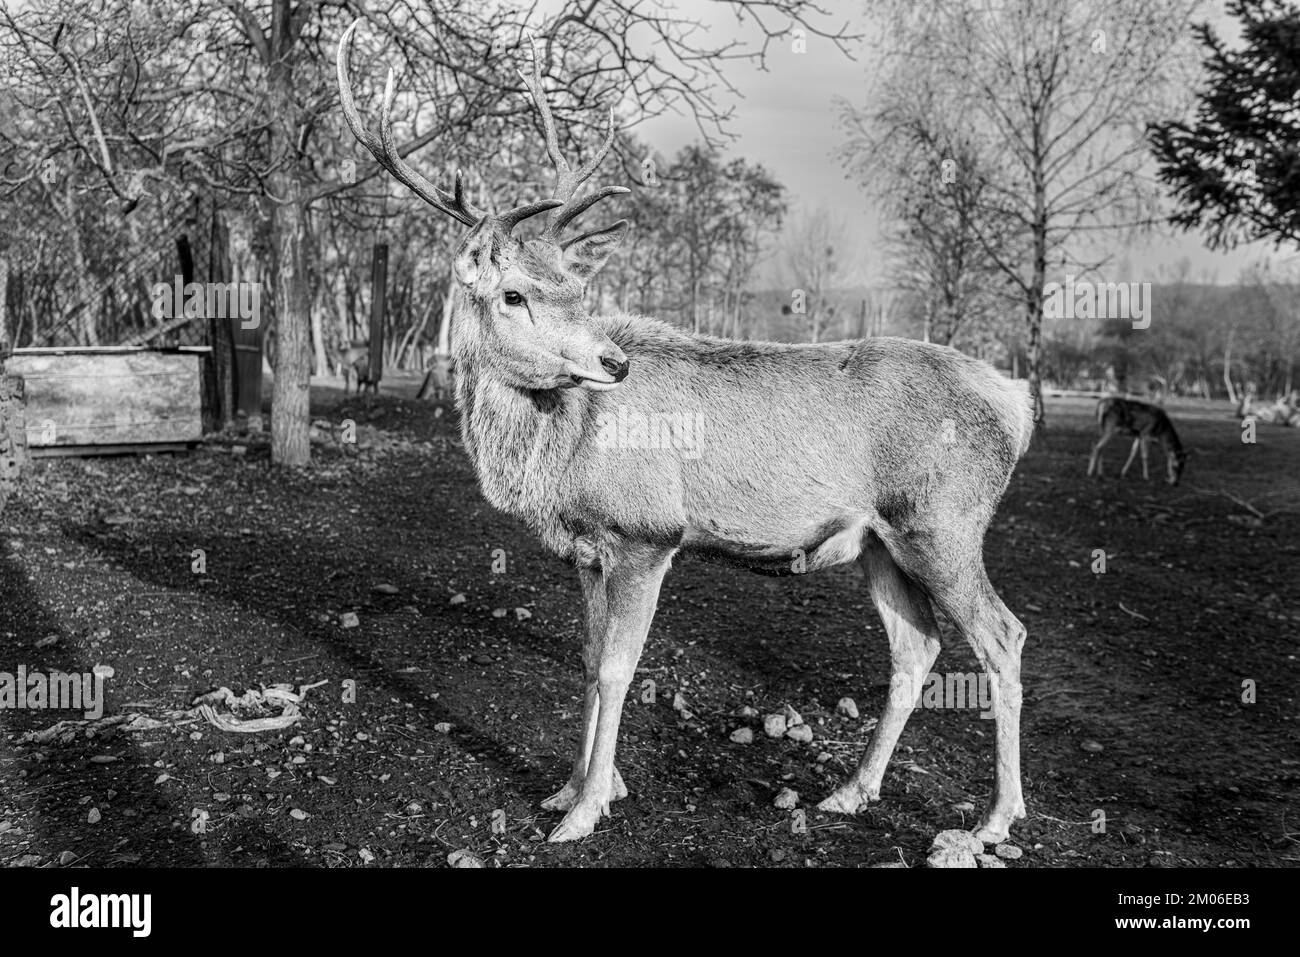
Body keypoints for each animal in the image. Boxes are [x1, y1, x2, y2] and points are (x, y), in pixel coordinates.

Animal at [340, 22, 1029, 842]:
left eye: (576, 288)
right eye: (514, 294)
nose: (614, 361)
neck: (558, 465)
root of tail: (1016, 402)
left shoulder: (648, 534)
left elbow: (617, 668)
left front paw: (588, 808)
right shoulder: (587, 549)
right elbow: (586, 658)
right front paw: (569, 788)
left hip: (944, 522)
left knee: (1003, 636)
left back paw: (993, 821)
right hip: (880, 541)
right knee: (916, 646)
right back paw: (850, 791)